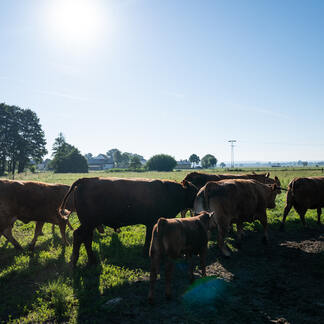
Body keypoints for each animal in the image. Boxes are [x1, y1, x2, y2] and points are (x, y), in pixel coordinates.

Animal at [59, 177, 199, 266]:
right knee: (79, 236)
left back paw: (91, 261)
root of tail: (85, 180)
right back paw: (76, 261)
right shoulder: (153, 222)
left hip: (89, 224)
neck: (169, 191)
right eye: (195, 191)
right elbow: (150, 239)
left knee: (86, 238)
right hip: (88, 223)